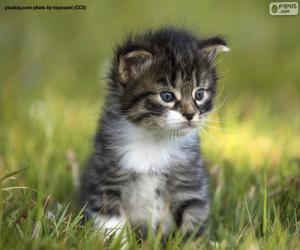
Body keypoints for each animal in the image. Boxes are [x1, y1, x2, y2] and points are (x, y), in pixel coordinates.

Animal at [78, 26, 229, 239]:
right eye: (166, 96)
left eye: (199, 94)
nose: (190, 114)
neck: (155, 139)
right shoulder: (106, 178)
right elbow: (111, 222)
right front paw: (115, 242)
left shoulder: (190, 182)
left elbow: (193, 221)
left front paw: (190, 242)